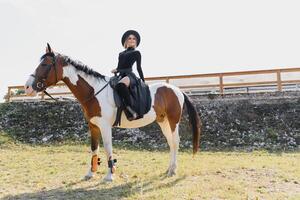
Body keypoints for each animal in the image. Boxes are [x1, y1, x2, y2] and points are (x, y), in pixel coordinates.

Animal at [24, 43, 202, 181]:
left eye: (45, 65)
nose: (27, 87)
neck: (94, 92)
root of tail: (177, 90)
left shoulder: (105, 127)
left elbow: (108, 148)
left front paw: (110, 175)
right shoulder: (93, 126)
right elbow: (94, 149)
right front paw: (90, 173)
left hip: (173, 121)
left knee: (176, 141)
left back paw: (173, 170)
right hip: (162, 121)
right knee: (171, 143)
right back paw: (169, 169)